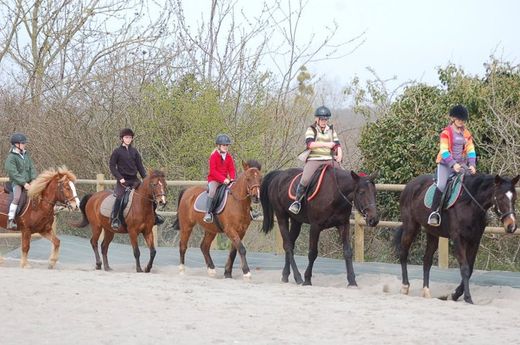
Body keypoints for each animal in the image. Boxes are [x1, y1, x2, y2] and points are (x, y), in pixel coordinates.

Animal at [396, 173, 516, 302]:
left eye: (514, 198)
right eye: (500, 198)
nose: (512, 226)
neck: (470, 205)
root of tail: (410, 184)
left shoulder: (475, 240)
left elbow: (470, 268)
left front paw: (455, 294)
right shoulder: (458, 239)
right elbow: (465, 268)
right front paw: (467, 298)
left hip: (432, 233)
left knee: (427, 260)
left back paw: (426, 292)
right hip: (411, 227)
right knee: (403, 253)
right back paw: (405, 286)